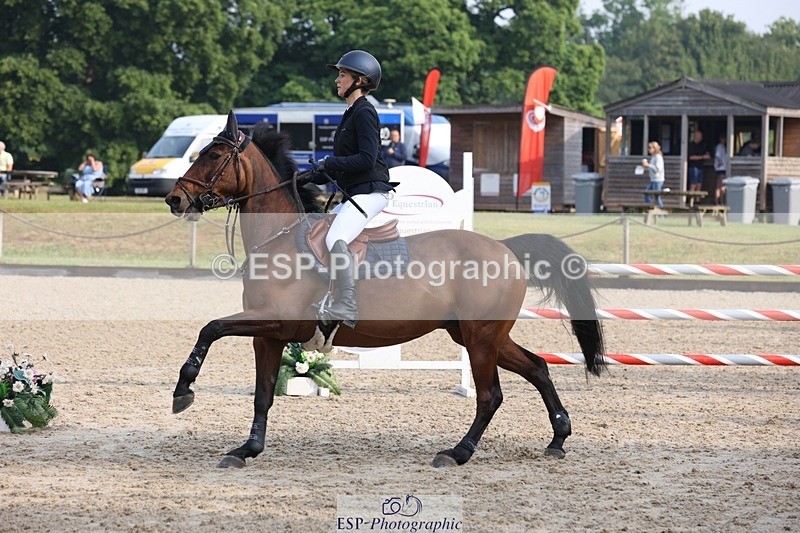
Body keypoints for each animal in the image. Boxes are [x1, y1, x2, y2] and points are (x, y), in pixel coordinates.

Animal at [165, 111, 605, 468]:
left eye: (213, 156)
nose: (174, 199)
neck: (279, 239)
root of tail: (505, 248)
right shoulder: (268, 335)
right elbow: (261, 394)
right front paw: (247, 450)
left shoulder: (274, 321)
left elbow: (210, 328)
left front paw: (183, 391)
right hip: (476, 334)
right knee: (537, 367)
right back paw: (558, 438)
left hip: (481, 338)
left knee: (490, 395)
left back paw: (458, 452)